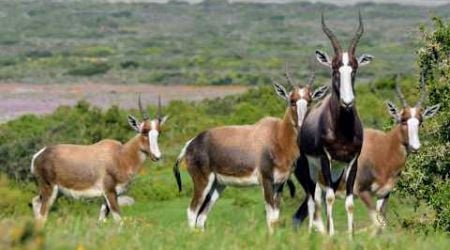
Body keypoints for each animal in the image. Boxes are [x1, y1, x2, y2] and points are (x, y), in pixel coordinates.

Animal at [29, 96, 168, 225]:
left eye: (158, 132)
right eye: (144, 131)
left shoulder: (105, 197)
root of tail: (38, 155)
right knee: (42, 215)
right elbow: (118, 219)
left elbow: (101, 220)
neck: (120, 155)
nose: (157, 156)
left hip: (55, 192)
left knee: (36, 202)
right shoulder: (110, 192)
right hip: (50, 189)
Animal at [172, 67, 326, 233]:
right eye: (292, 101)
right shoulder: (266, 181)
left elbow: (275, 216)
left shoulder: (279, 183)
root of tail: (190, 143)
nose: (302, 125)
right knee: (192, 211)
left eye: (309, 101)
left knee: (201, 217)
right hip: (203, 182)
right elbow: (270, 216)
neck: (277, 135)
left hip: (217, 186)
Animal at [292, 12, 372, 236]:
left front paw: (351, 236)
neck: (342, 130)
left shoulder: (352, 161)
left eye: (354, 70)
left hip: (336, 170)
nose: (347, 102)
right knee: (313, 199)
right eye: (335, 70)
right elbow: (327, 198)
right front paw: (331, 234)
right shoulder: (325, 159)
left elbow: (349, 202)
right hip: (310, 169)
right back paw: (313, 232)